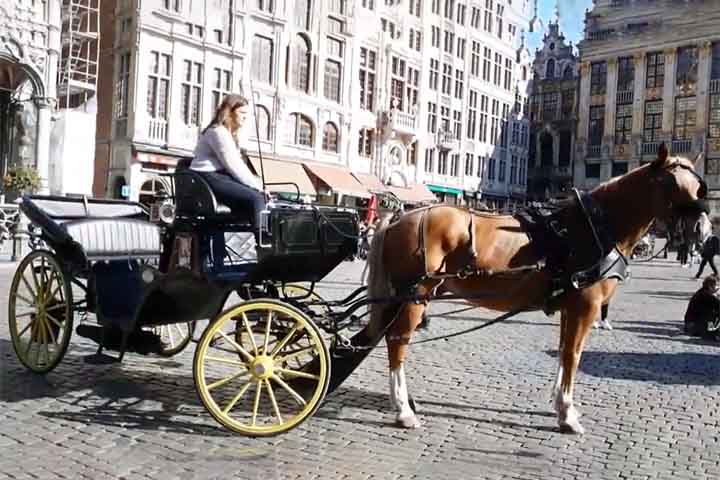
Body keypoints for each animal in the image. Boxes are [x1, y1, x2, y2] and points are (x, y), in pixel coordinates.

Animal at [365, 144, 706, 434]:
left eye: (698, 187)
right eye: (669, 183)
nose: (701, 228)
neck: (594, 227)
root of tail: (400, 217)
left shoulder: (570, 305)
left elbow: (564, 352)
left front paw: (561, 405)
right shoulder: (586, 305)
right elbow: (573, 355)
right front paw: (567, 415)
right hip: (414, 298)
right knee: (397, 343)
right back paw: (404, 411)